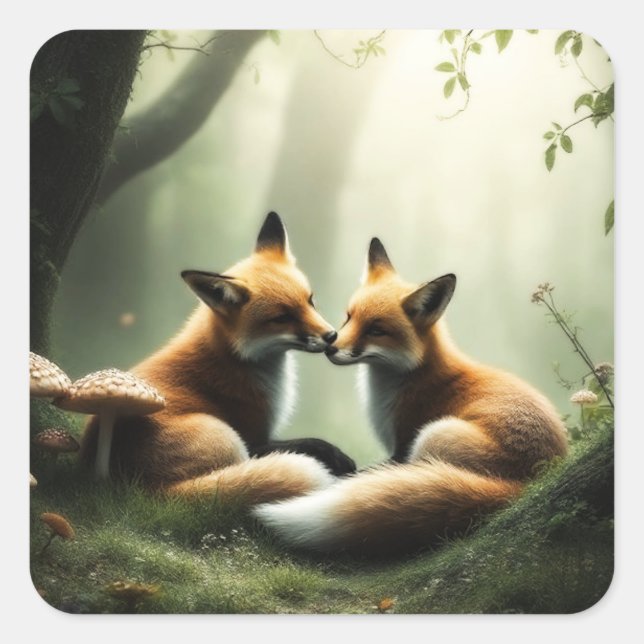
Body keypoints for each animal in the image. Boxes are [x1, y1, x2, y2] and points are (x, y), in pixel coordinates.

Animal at [80, 212, 356, 503]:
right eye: (282, 318)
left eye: (310, 301)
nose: (331, 336)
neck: (234, 357)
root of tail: (149, 492)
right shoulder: (255, 436)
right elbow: (309, 443)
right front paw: (336, 456)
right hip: (228, 437)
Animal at [254, 237, 569, 555]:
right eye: (349, 317)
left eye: (376, 330)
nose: (331, 347)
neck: (409, 377)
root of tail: (526, 485)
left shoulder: (403, 444)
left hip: (434, 435)